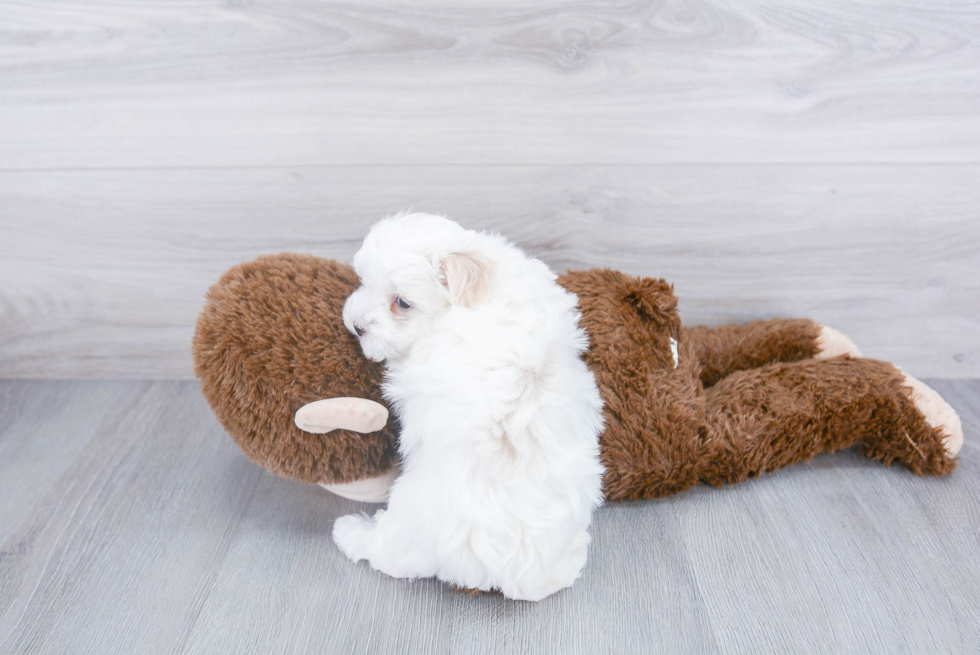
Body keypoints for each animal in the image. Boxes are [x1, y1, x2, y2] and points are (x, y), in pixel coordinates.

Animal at [340, 213, 608, 604]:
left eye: (402, 303)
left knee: (386, 554)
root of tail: (505, 572)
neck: (475, 296)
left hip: (407, 518)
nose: (356, 325)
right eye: (363, 280)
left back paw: (349, 532)